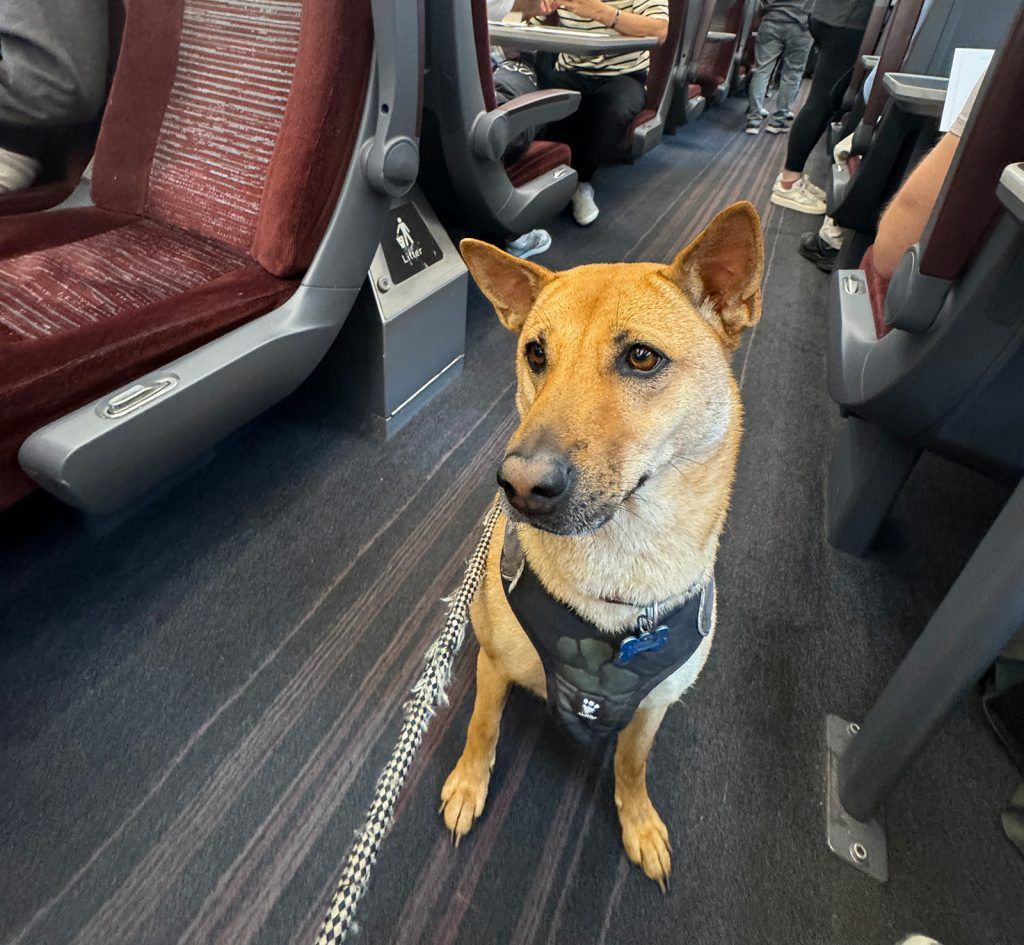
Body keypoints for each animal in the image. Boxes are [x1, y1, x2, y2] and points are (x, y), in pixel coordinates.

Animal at [440, 199, 761, 888]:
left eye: (641, 358)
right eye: (535, 353)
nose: (519, 485)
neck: (619, 577)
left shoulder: (654, 705)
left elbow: (632, 765)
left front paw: (637, 820)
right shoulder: (496, 667)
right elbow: (482, 727)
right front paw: (469, 784)